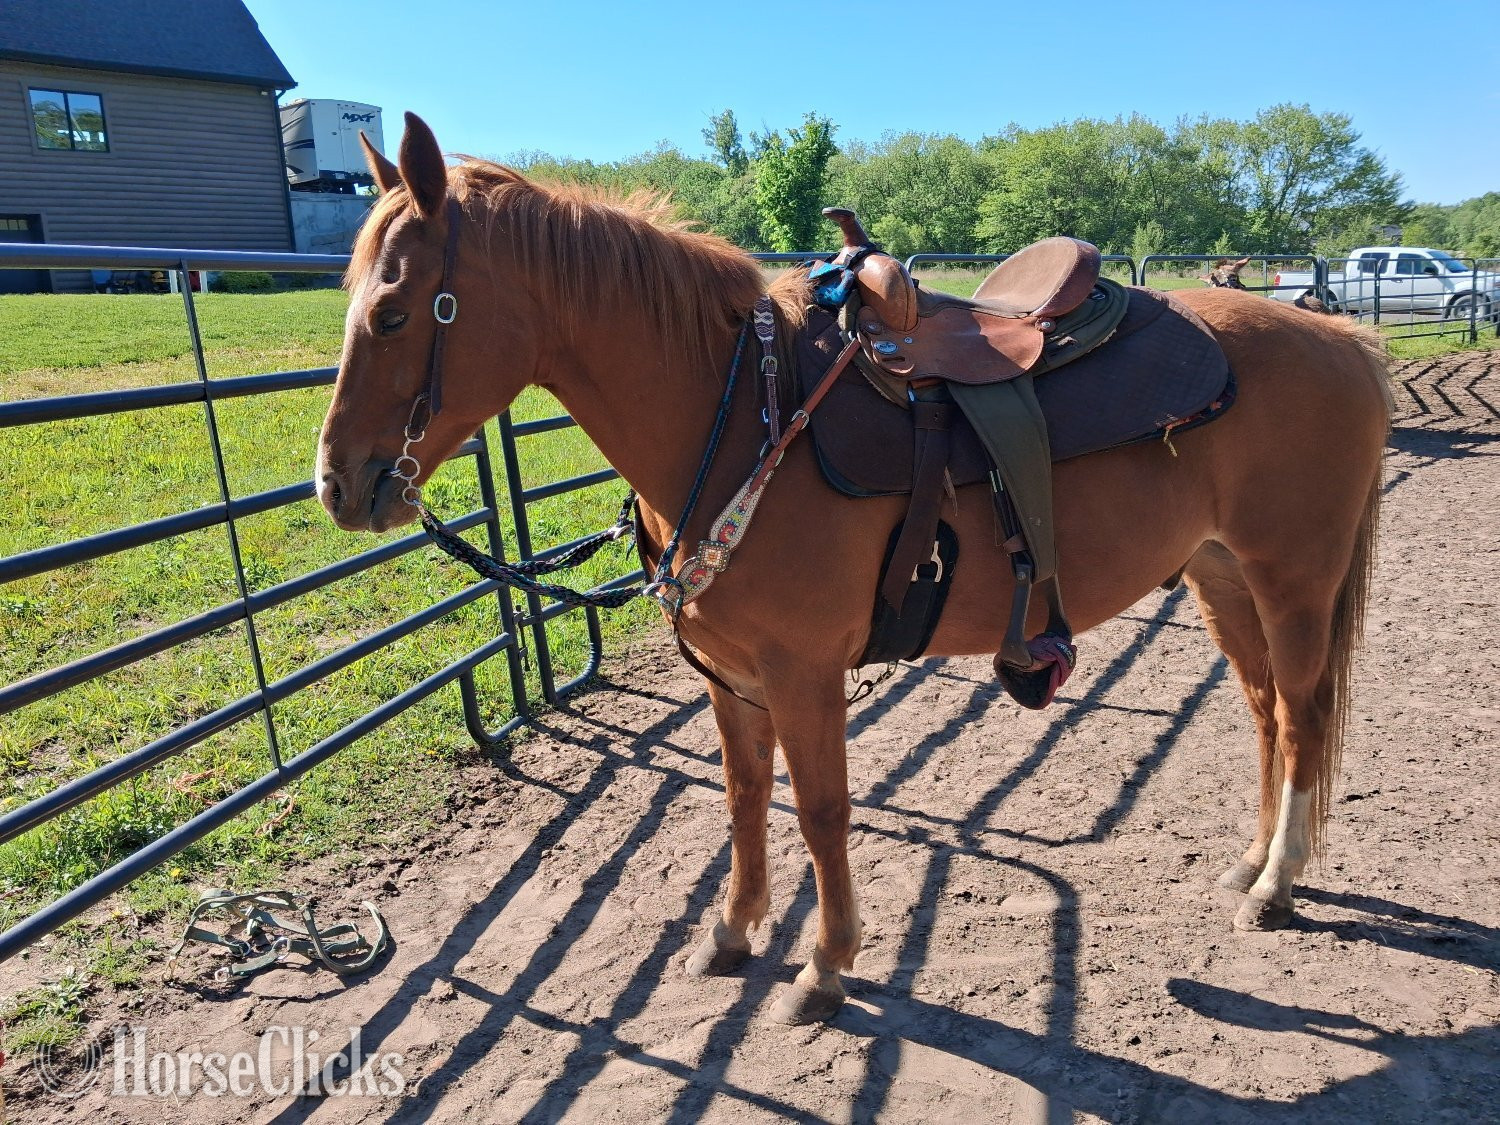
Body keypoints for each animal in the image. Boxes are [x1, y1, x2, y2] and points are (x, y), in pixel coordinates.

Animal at [316, 113, 1393, 1025]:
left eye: (397, 312)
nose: (340, 485)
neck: (738, 417)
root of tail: (1344, 339)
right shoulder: (733, 679)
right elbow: (744, 797)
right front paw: (733, 932)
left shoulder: (803, 674)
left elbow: (822, 810)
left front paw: (824, 967)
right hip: (1221, 577)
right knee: (1265, 710)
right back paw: (1251, 861)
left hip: (1292, 581)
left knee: (1302, 715)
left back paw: (1277, 884)